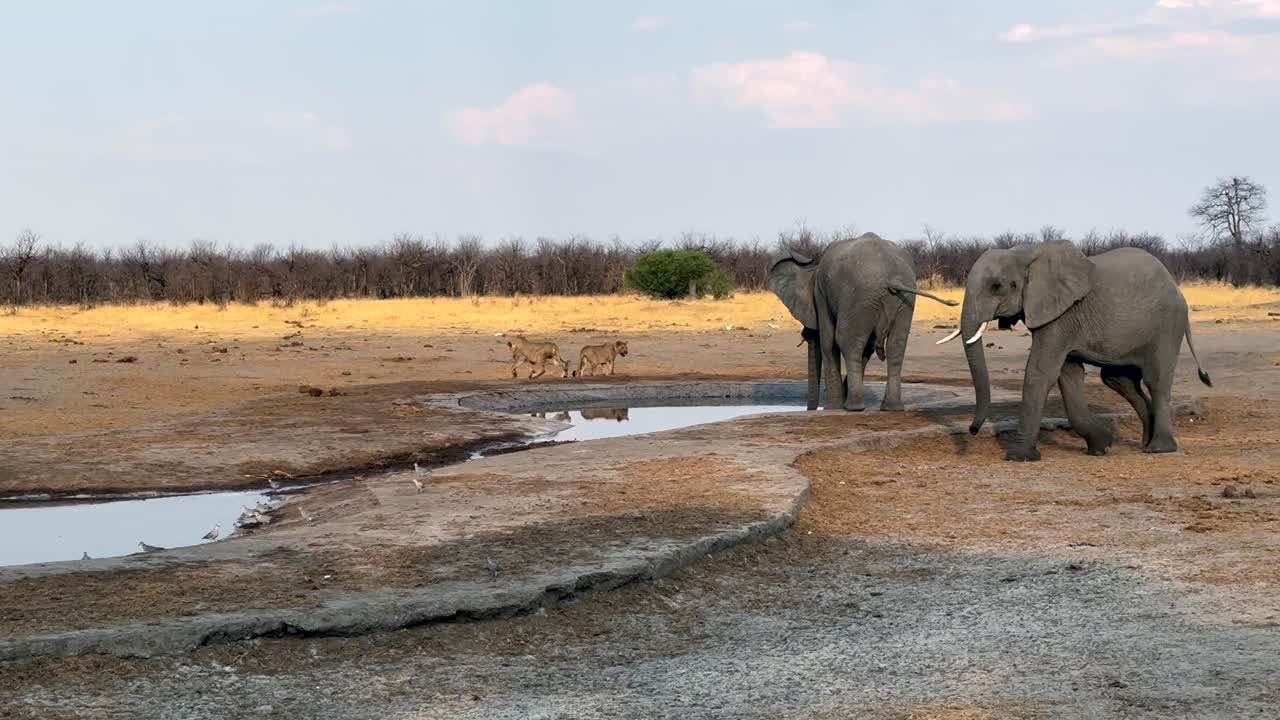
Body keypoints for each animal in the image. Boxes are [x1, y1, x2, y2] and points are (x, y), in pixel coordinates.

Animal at [769, 232, 958, 412]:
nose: (811, 409)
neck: (812, 266)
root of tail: (890, 277)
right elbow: (867, 347)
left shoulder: (821, 294)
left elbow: (828, 343)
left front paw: (832, 408)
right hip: (901, 299)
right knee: (896, 345)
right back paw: (891, 407)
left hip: (859, 295)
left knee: (847, 340)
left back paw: (854, 407)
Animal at [938, 240, 1212, 461]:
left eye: (997, 286)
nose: (972, 430)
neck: (1024, 254)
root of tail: (1176, 287)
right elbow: (1067, 376)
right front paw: (1101, 447)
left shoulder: (1063, 315)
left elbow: (1040, 373)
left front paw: (1019, 457)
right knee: (1119, 380)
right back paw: (1145, 442)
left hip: (1167, 326)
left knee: (1157, 379)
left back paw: (1159, 449)